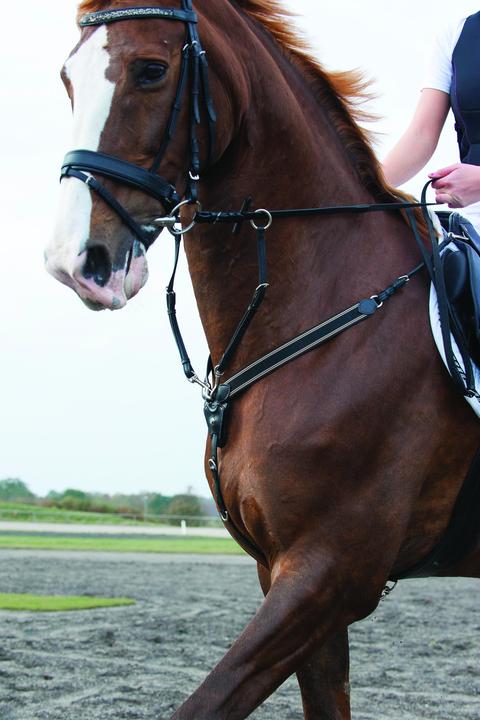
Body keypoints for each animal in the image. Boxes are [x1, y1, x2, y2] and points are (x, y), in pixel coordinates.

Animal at [46, 1, 480, 718]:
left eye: (151, 70)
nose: (76, 261)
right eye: (67, 80)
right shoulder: (284, 571)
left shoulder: (330, 572)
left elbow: (206, 702)